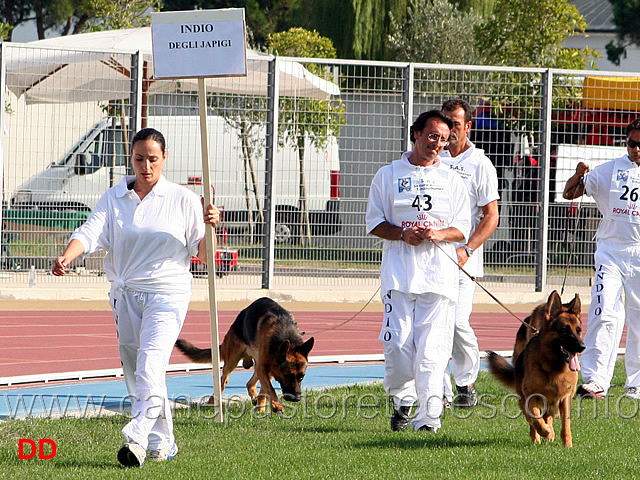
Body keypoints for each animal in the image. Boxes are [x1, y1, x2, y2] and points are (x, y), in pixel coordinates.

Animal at [175, 296, 316, 412]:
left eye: (302, 377)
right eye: (288, 376)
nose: (297, 398)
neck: (285, 336)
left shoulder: (268, 369)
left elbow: (265, 390)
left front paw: (262, 408)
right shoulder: (265, 368)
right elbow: (271, 390)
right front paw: (277, 406)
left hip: (259, 365)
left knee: (250, 383)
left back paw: (256, 401)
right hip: (232, 360)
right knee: (223, 380)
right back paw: (212, 402)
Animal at [484, 290, 584, 448]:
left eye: (578, 330)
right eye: (564, 330)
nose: (582, 346)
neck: (554, 366)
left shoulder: (565, 398)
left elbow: (565, 425)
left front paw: (567, 444)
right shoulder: (531, 396)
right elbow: (535, 419)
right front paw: (546, 431)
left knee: (549, 414)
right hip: (523, 400)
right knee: (533, 420)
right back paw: (539, 436)